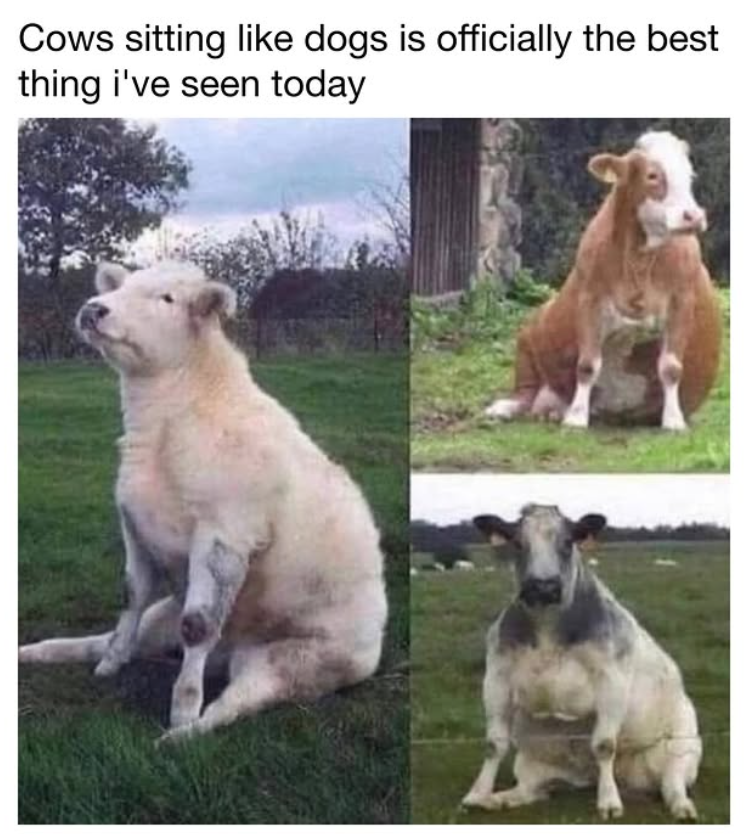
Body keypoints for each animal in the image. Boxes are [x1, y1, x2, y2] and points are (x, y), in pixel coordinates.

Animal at [19, 261, 388, 744]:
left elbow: (198, 626)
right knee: (110, 638)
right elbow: (131, 595)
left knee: (236, 702)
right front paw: (111, 665)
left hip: (293, 662)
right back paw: (38, 652)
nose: (94, 309)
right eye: (121, 286)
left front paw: (182, 710)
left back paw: (181, 738)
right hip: (163, 620)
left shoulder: (225, 532)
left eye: (168, 298)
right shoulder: (134, 524)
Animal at [462, 505, 701, 820]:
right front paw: (477, 794)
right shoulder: (496, 678)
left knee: (671, 783)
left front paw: (609, 802)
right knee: (529, 789)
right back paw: (499, 798)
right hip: (532, 761)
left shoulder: (612, 681)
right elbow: (493, 745)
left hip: (682, 747)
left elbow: (604, 745)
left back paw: (681, 806)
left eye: (567, 542)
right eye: (518, 543)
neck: (548, 628)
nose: (543, 586)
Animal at [485, 131, 721, 430]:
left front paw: (673, 421)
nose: (694, 217)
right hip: (529, 333)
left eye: (690, 175)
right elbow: (587, 365)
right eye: (652, 175)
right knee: (525, 390)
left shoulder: (683, 302)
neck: (639, 260)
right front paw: (576, 418)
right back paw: (506, 408)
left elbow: (671, 367)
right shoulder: (589, 300)